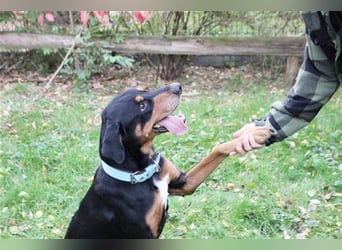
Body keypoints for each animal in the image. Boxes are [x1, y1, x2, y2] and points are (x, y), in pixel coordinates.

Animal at [65, 82, 272, 238]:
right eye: (142, 106)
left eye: (143, 90)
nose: (177, 86)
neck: (140, 172)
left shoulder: (184, 183)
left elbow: (217, 149)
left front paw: (254, 134)